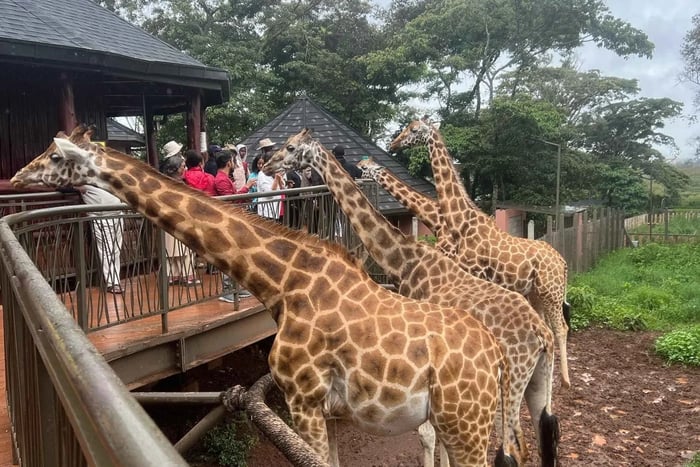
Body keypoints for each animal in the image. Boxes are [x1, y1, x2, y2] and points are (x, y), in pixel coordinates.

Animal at [12, 127, 515, 467]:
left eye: (54, 154)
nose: (17, 176)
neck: (283, 284)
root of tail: (496, 354)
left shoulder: (303, 398)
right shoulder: (326, 410)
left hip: (466, 424)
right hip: (458, 422)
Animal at [389, 119, 571, 389]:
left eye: (414, 130)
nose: (393, 144)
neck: (462, 221)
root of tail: (562, 261)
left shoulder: (470, 273)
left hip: (552, 293)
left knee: (561, 328)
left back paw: (565, 381)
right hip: (536, 293)